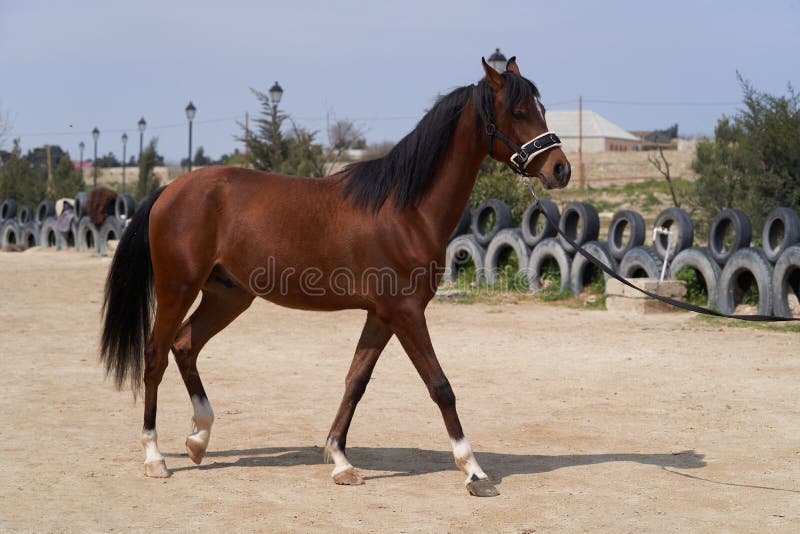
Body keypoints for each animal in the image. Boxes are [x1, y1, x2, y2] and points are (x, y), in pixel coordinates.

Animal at [100, 57, 572, 498]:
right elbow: (440, 386)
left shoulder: (382, 315)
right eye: (517, 110)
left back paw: (199, 438)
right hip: (178, 288)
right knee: (155, 355)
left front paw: (341, 461)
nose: (560, 169)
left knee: (184, 345)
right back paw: (155, 457)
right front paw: (474, 471)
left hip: (228, 296)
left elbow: (355, 382)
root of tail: (169, 191)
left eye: (542, 108)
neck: (406, 210)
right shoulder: (406, 313)